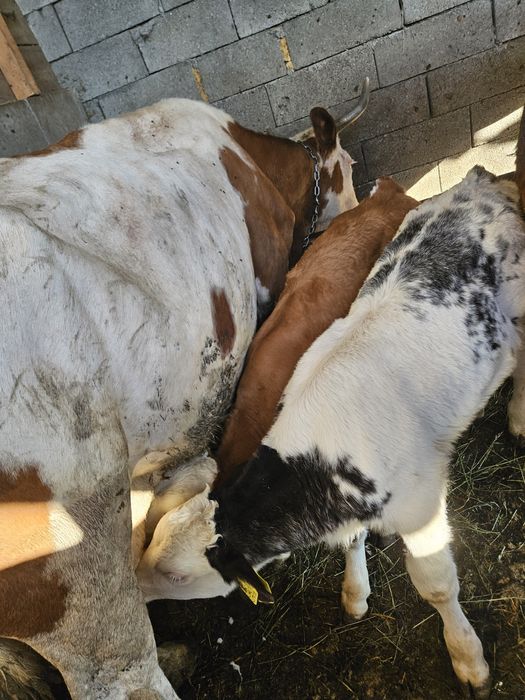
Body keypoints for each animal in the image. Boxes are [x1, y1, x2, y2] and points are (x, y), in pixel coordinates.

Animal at [135, 166, 525, 698]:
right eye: (153, 537)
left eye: (175, 575)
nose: (136, 590)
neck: (314, 462)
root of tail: (480, 182)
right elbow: (353, 540)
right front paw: (355, 590)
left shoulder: (421, 508)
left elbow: (438, 585)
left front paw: (467, 658)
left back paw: (519, 416)